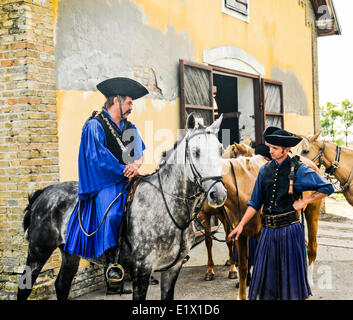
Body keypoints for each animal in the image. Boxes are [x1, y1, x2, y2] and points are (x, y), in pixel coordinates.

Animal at [17, 113, 226, 300]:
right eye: (196, 152)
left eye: (220, 150)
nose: (218, 194)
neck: (168, 208)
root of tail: (44, 192)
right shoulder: (142, 269)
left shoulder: (172, 269)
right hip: (38, 252)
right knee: (25, 287)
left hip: (69, 253)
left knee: (62, 285)